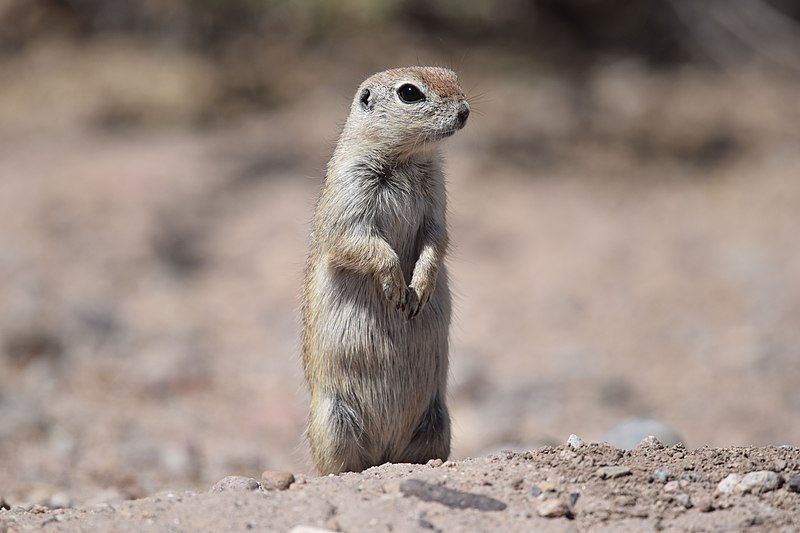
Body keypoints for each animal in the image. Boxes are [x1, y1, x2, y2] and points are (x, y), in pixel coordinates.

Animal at [304, 67, 472, 474]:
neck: (407, 159)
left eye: (452, 75)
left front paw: (419, 289)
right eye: (409, 93)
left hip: (437, 420)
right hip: (332, 421)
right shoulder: (349, 196)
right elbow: (361, 243)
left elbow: (437, 238)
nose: (465, 111)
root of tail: (385, 454)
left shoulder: (436, 199)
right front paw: (396, 288)